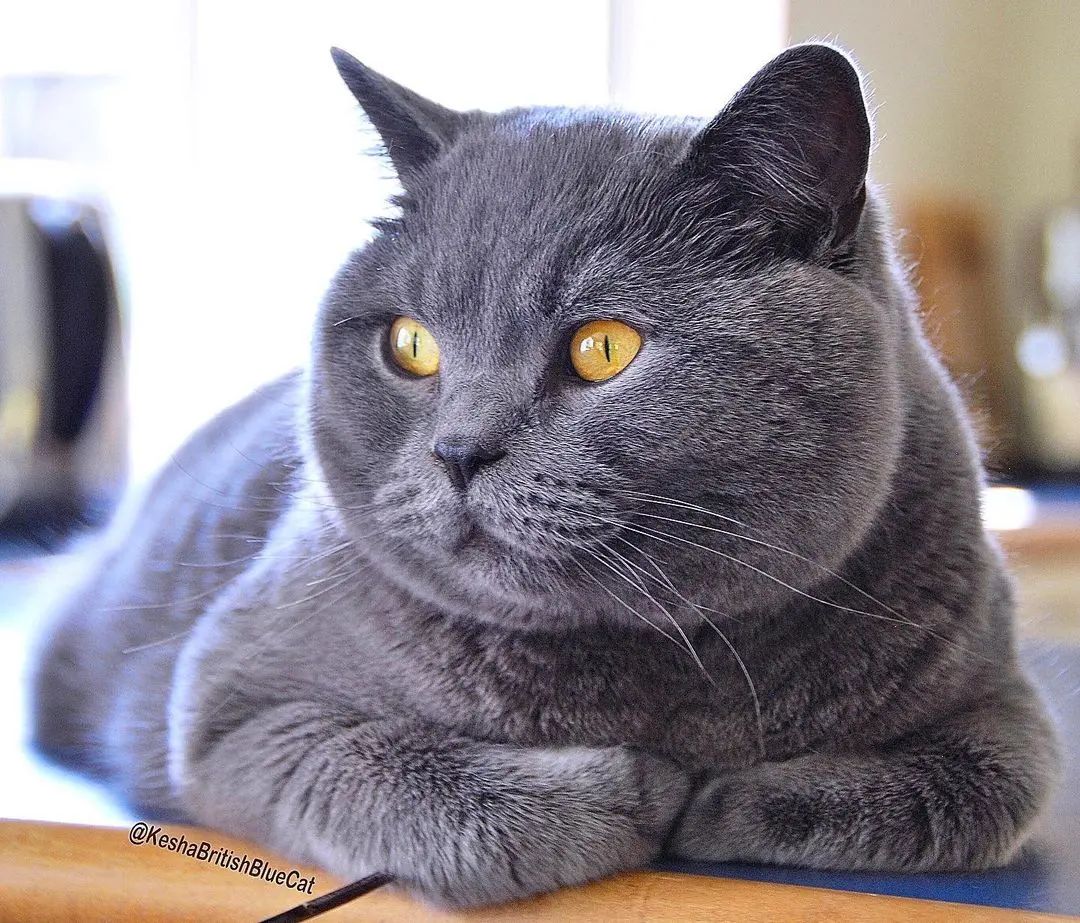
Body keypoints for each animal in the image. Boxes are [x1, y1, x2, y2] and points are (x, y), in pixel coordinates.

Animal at [29, 45, 1058, 911]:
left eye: (604, 347)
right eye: (410, 344)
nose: (458, 450)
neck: (662, 664)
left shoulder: (1008, 711)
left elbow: (971, 792)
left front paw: (723, 797)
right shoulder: (229, 701)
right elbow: (406, 779)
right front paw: (639, 788)